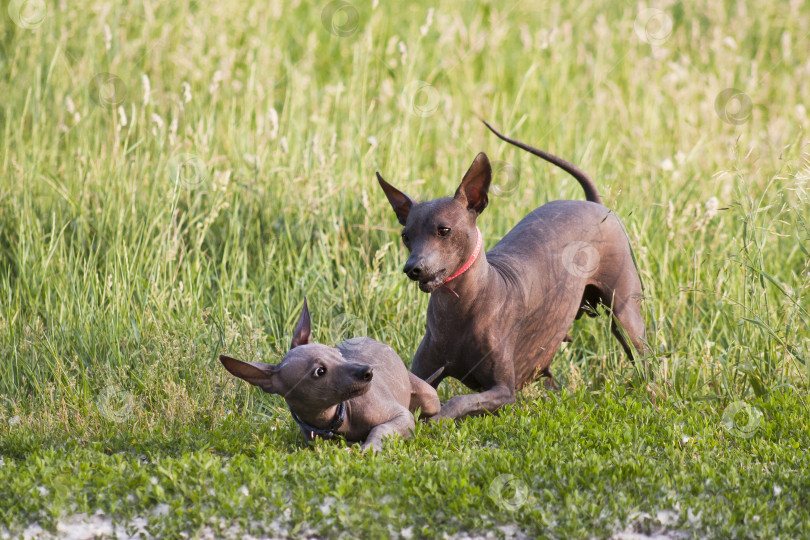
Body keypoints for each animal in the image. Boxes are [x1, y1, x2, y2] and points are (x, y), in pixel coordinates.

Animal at [218, 300, 438, 452]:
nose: (368, 372)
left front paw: (370, 447)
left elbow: (381, 429)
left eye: (339, 354)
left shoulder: (402, 416)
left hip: (428, 398)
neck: (338, 419)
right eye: (320, 371)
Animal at [376, 120, 648, 420]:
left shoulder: (504, 391)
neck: (459, 307)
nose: (412, 268)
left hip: (625, 314)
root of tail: (595, 204)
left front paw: (437, 419)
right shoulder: (422, 375)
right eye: (406, 236)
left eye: (443, 230)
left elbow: (457, 401)